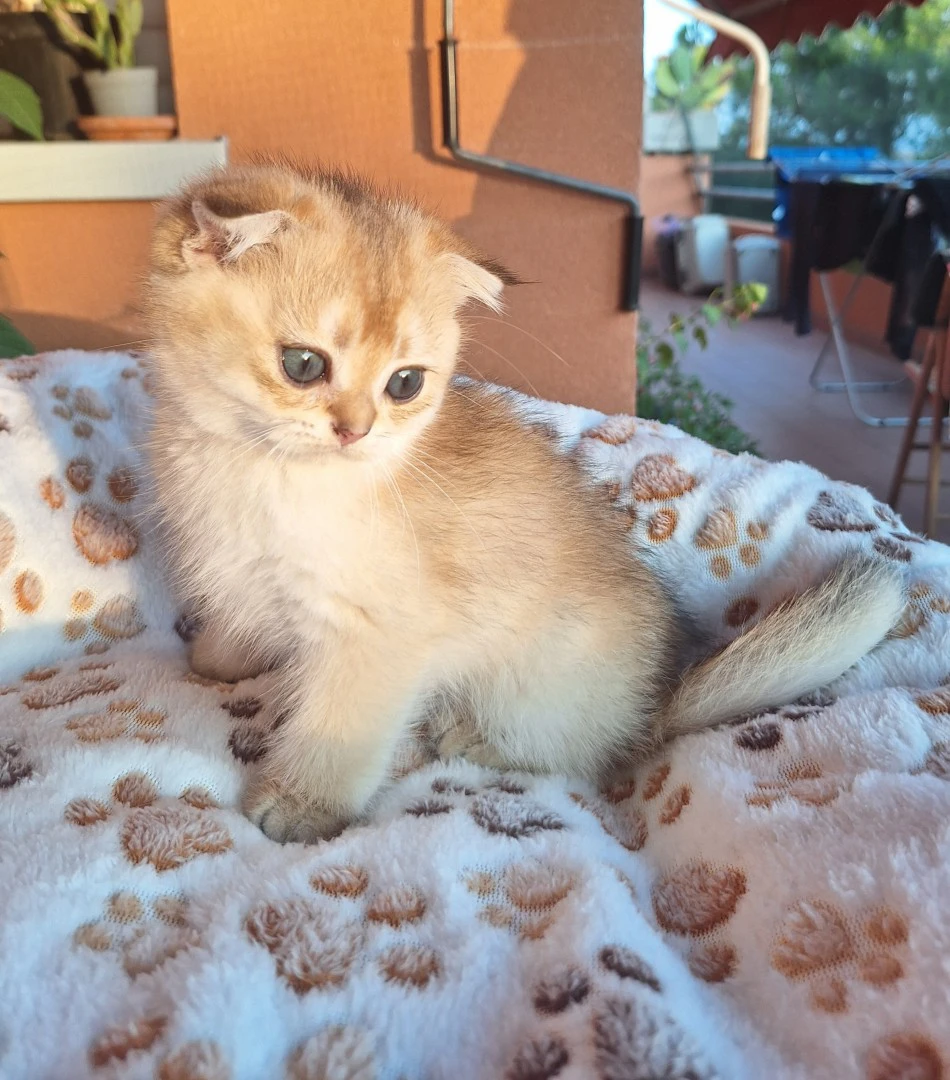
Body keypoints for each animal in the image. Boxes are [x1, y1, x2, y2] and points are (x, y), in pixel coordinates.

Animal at [144, 164, 902, 842]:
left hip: (537, 688)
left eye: (405, 383)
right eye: (303, 365)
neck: (255, 470)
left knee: (567, 755)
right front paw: (220, 655)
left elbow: (340, 726)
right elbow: (242, 617)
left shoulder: (379, 634)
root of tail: (650, 710)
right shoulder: (243, 567)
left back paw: (459, 735)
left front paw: (302, 806)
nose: (355, 431)